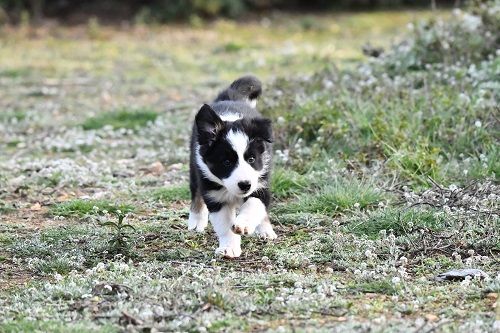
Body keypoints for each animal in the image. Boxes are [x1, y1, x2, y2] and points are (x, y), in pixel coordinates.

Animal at [188, 75, 278, 256]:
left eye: (251, 159)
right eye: (227, 162)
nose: (244, 185)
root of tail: (230, 97)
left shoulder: (260, 185)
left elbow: (254, 205)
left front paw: (244, 224)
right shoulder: (215, 196)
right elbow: (224, 226)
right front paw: (228, 248)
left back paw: (266, 230)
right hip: (194, 170)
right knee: (196, 193)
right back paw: (196, 220)